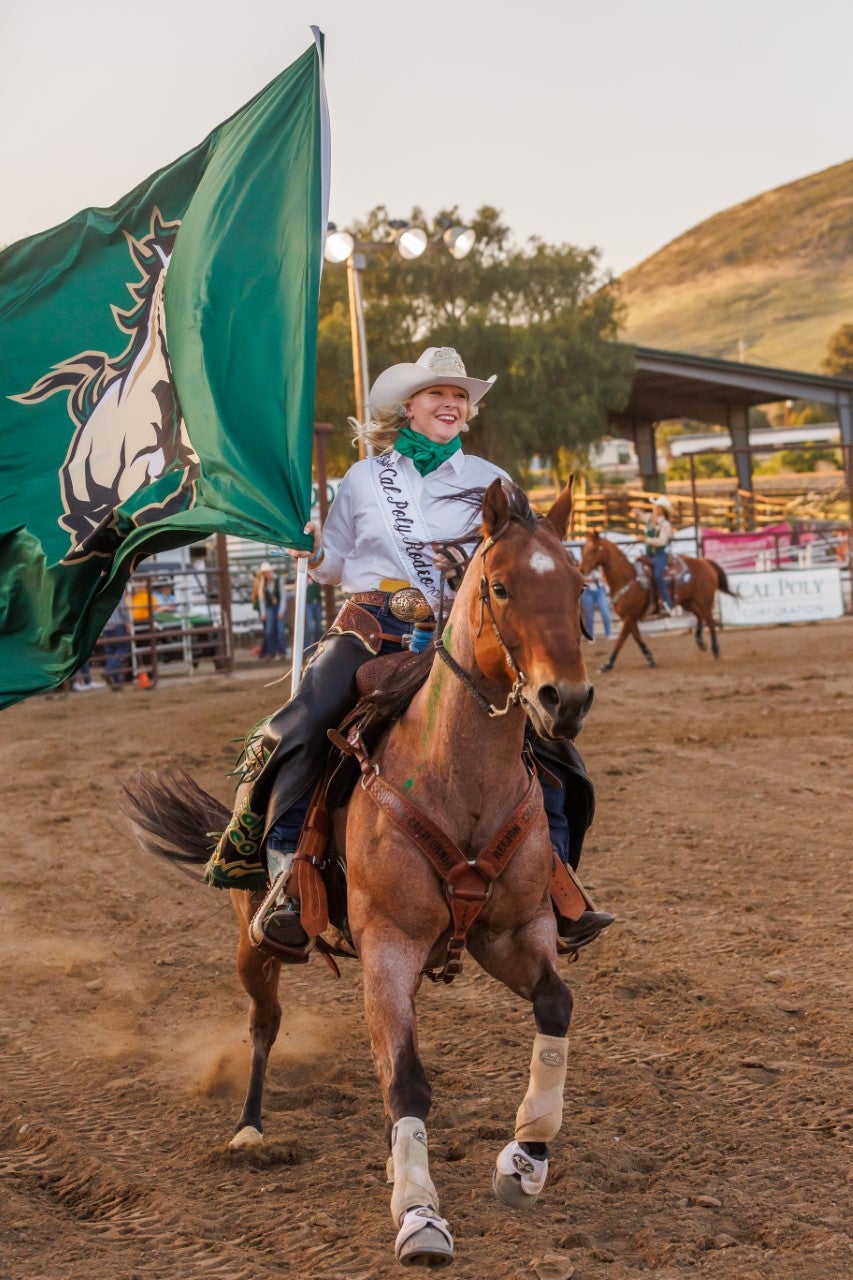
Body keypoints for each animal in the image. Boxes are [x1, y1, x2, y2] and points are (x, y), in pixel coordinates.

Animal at [126, 481, 594, 1269]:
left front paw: (525, 1158)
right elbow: (404, 1079)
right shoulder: (389, 948)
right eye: (500, 585)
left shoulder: (513, 933)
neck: (455, 778)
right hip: (254, 943)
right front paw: (419, 1213)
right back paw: (250, 1129)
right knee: (263, 1022)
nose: (566, 700)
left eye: (578, 583)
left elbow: (555, 1008)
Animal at [581, 527, 732, 670]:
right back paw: (700, 642)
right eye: (583, 550)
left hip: (705, 601)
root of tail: (705, 562)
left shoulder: (629, 617)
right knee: (700, 616)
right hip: (688, 601)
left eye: (594, 549)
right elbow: (637, 638)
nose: (582, 570)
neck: (627, 578)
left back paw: (715, 650)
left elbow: (620, 641)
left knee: (710, 622)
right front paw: (650, 659)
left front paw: (607, 665)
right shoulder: (630, 618)